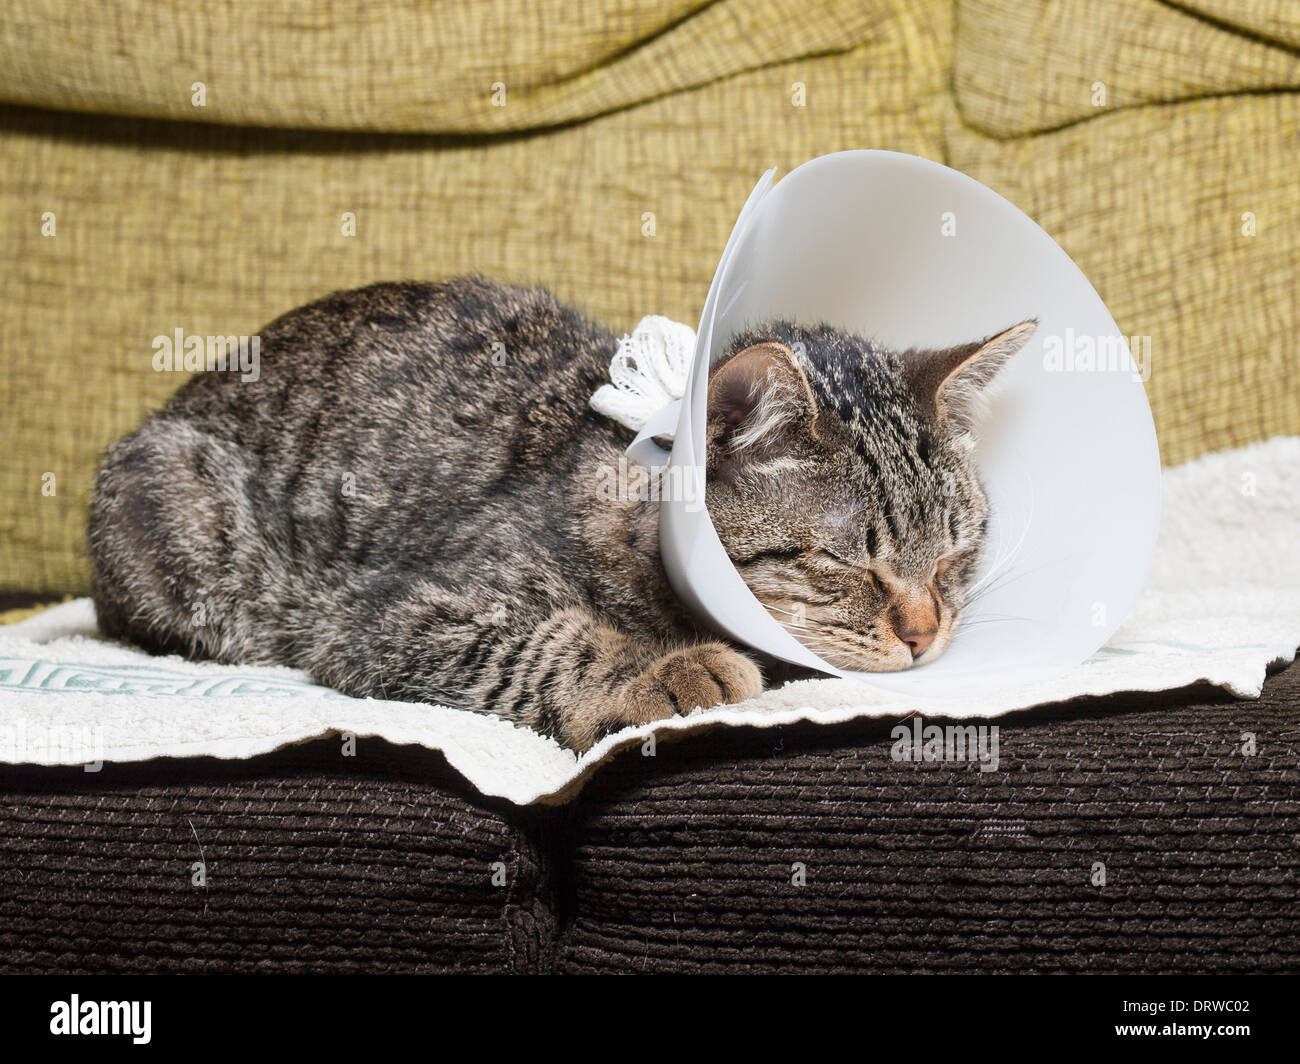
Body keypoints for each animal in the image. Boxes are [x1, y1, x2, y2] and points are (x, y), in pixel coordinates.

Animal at [86, 278, 1029, 749]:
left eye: (956, 556)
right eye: (845, 563)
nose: (924, 634)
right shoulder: (385, 614)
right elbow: (547, 642)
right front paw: (664, 669)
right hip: (175, 512)